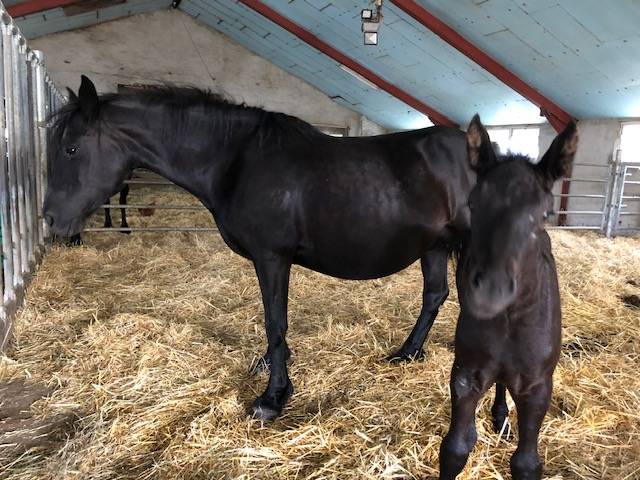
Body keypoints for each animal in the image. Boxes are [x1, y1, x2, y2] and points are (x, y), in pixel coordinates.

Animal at [43, 75, 477, 421]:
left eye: (70, 148)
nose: (51, 219)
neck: (236, 160)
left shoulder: (272, 258)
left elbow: (275, 321)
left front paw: (273, 397)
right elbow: (273, 320)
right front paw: (270, 365)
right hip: (434, 247)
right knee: (434, 295)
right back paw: (408, 352)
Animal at [439, 115, 576, 480]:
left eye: (544, 215)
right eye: (473, 205)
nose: (491, 292)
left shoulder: (538, 387)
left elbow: (526, 463)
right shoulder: (465, 373)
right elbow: (455, 448)